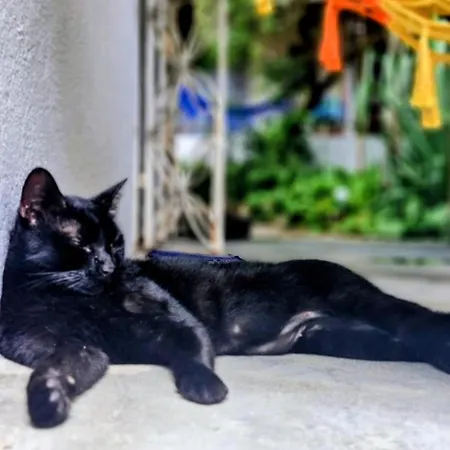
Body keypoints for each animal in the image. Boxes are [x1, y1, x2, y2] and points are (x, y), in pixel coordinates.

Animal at [1, 167, 449, 429]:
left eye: (115, 243)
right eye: (80, 243)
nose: (111, 265)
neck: (69, 300)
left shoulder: (178, 322)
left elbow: (192, 353)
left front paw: (205, 387)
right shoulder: (76, 347)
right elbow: (59, 368)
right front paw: (47, 400)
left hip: (366, 305)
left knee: (421, 321)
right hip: (348, 338)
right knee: (404, 342)